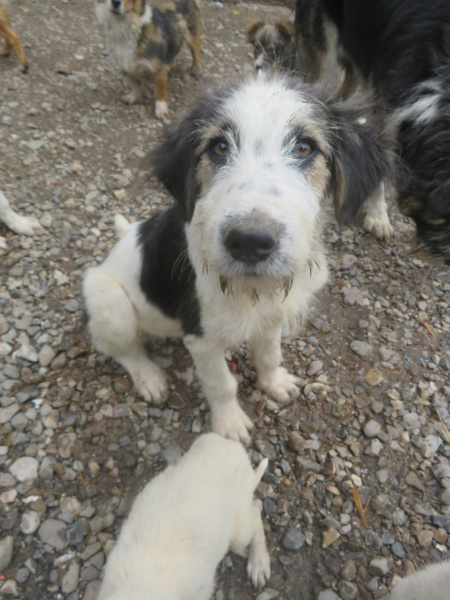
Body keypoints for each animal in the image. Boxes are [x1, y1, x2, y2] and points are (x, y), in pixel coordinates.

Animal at [83, 72, 390, 442]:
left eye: (305, 147)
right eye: (219, 146)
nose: (249, 241)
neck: (249, 290)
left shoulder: (272, 316)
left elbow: (269, 355)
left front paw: (275, 384)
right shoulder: (200, 336)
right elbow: (221, 384)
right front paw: (229, 426)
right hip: (108, 301)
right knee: (119, 348)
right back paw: (149, 377)